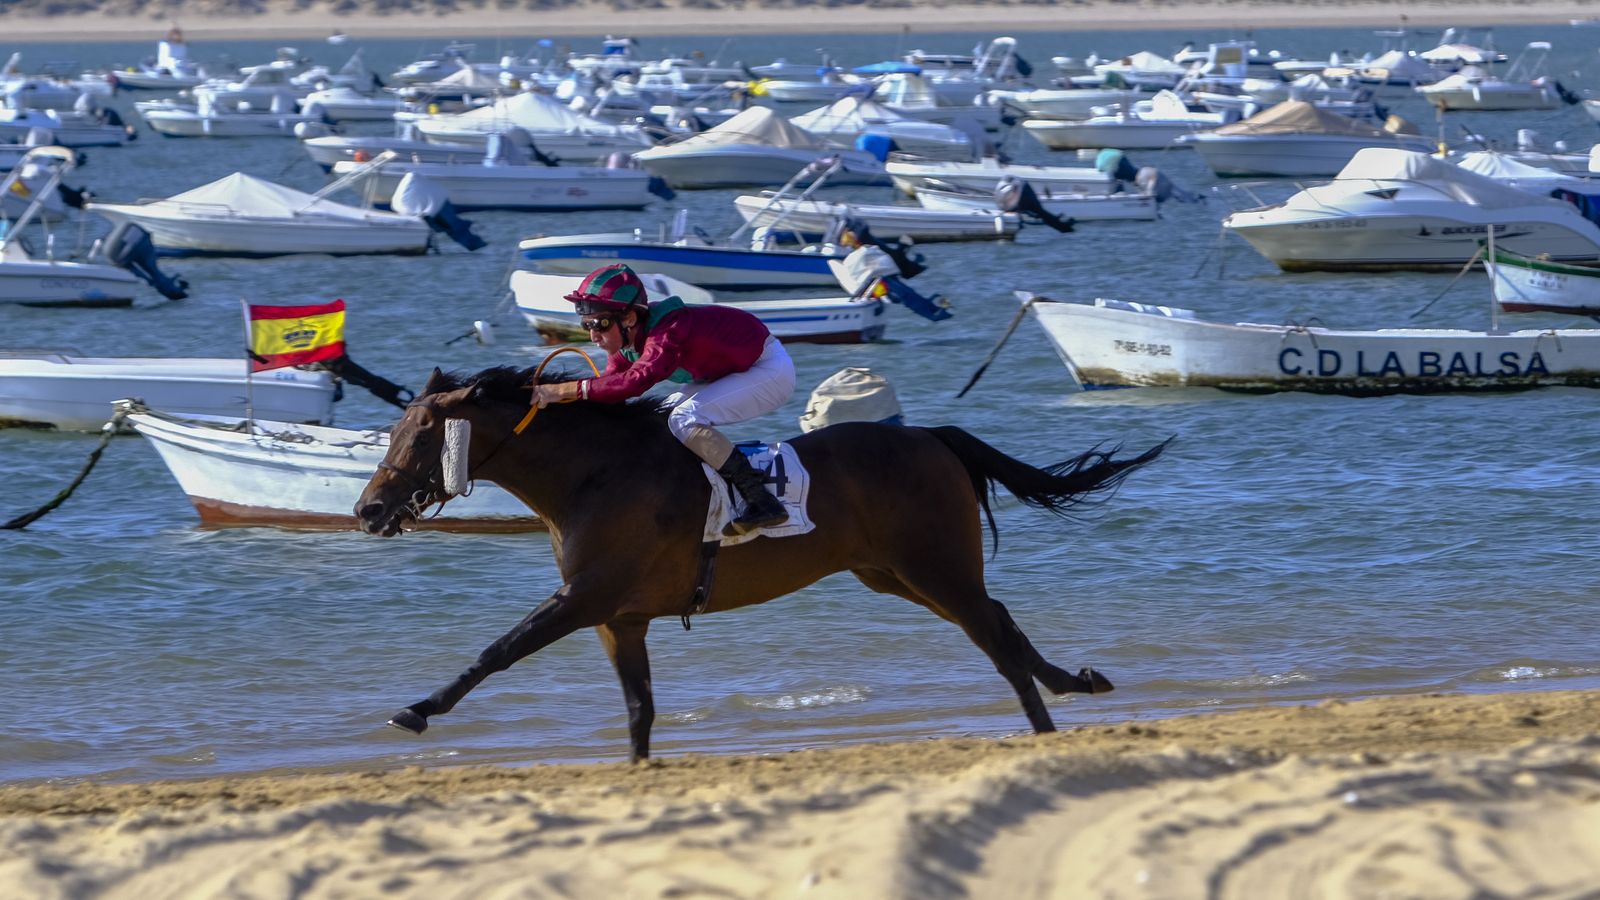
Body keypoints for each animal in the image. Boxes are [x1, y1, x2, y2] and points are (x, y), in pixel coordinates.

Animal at [355, 365, 1169, 762]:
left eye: (418, 435)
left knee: (995, 638)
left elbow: (499, 649)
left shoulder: (586, 598)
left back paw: (1045, 726)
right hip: (898, 575)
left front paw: (417, 709)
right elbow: (639, 708)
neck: (593, 473)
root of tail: (931, 436)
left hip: (934, 568)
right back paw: (1076, 683)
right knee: (1000, 621)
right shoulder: (620, 619)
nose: (368, 509)